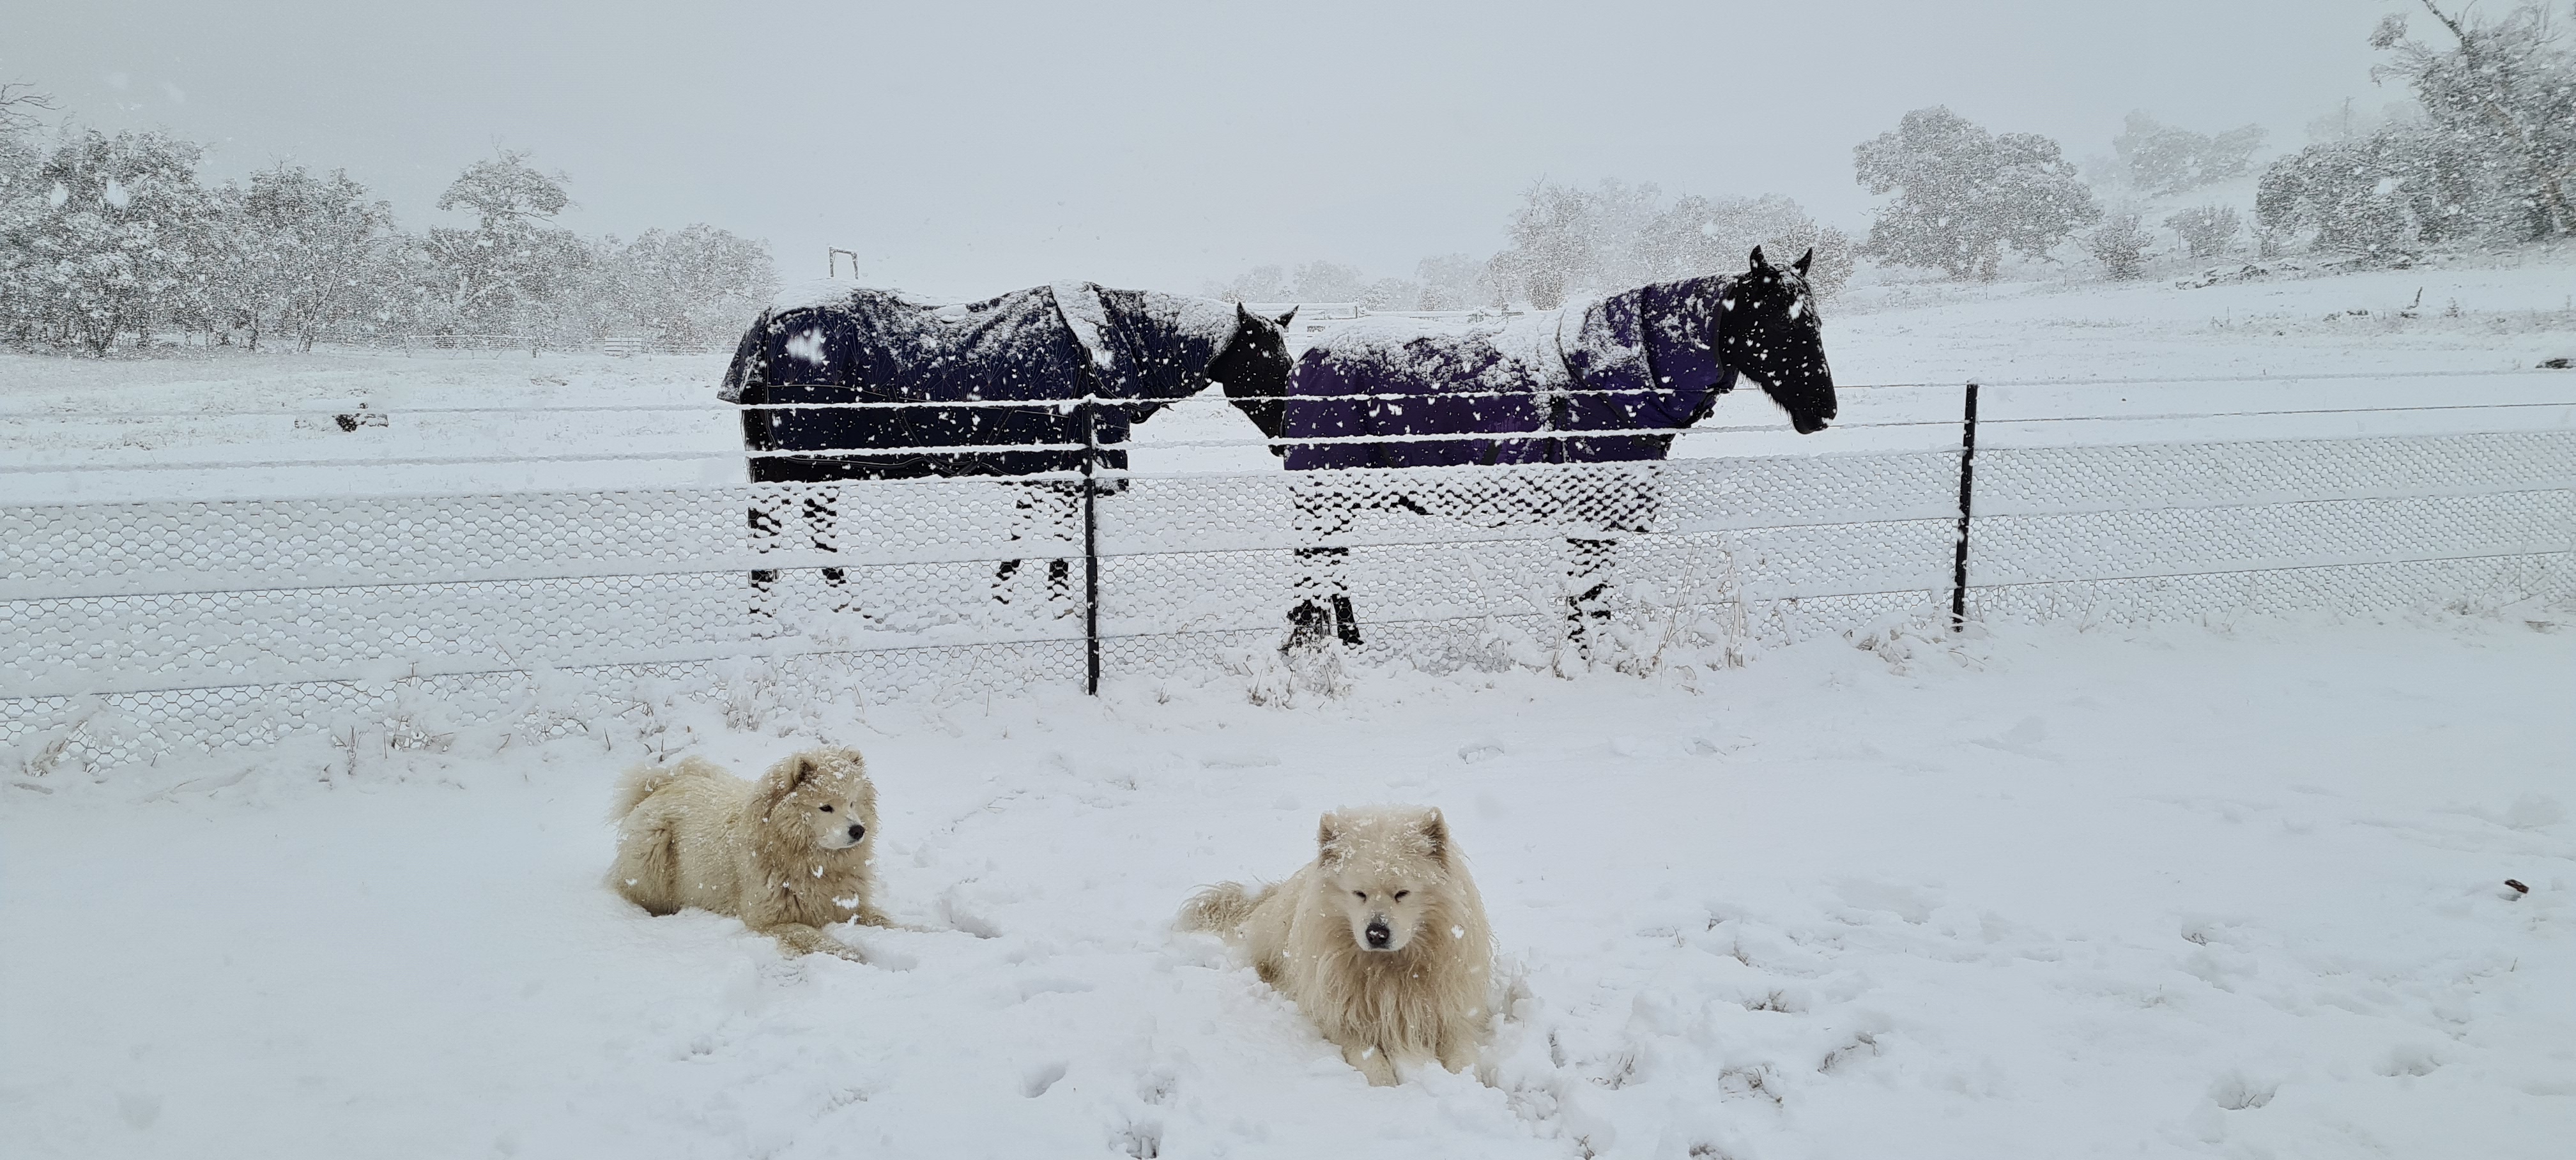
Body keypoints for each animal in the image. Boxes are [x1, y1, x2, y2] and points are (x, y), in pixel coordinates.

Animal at [608, 742, 891, 959]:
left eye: (853, 803)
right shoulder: (768, 920)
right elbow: (816, 939)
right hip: (652, 852)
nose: (858, 830)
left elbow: (884, 920)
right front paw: (853, 954)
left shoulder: (844, 905)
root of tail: (660, 786)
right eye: (825, 807)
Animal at [721, 278, 1298, 616]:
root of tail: (767, 320)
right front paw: (1055, 605)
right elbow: (1051, 544)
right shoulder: (1067, 470)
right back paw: (838, 607)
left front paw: (1012, 595)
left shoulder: (1048, 466)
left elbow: (1028, 536)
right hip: (806, 461)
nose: (1288, 433)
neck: (1097, 345)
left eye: (1288, 360)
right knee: (807, 524)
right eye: (1270, 361)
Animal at [1179, 804, 1494, 1088]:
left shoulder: (1454, 1014)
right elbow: (1370, 1059)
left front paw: (1469, 1086)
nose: (1376, 933)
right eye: (1359, 893)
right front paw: (1387, 1088)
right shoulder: (1341, 1019)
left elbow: (1464, 1056)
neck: (1390, 968)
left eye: (1402, 893)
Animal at [1221, 250, 1834, 652]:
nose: (1824, 410)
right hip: (1326, 495)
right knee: (1318, 572)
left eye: (1815, 323)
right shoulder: (1591, 518)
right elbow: (1590, 597)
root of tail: (1308, 364)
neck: (1604, 380)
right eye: (1782, 325)